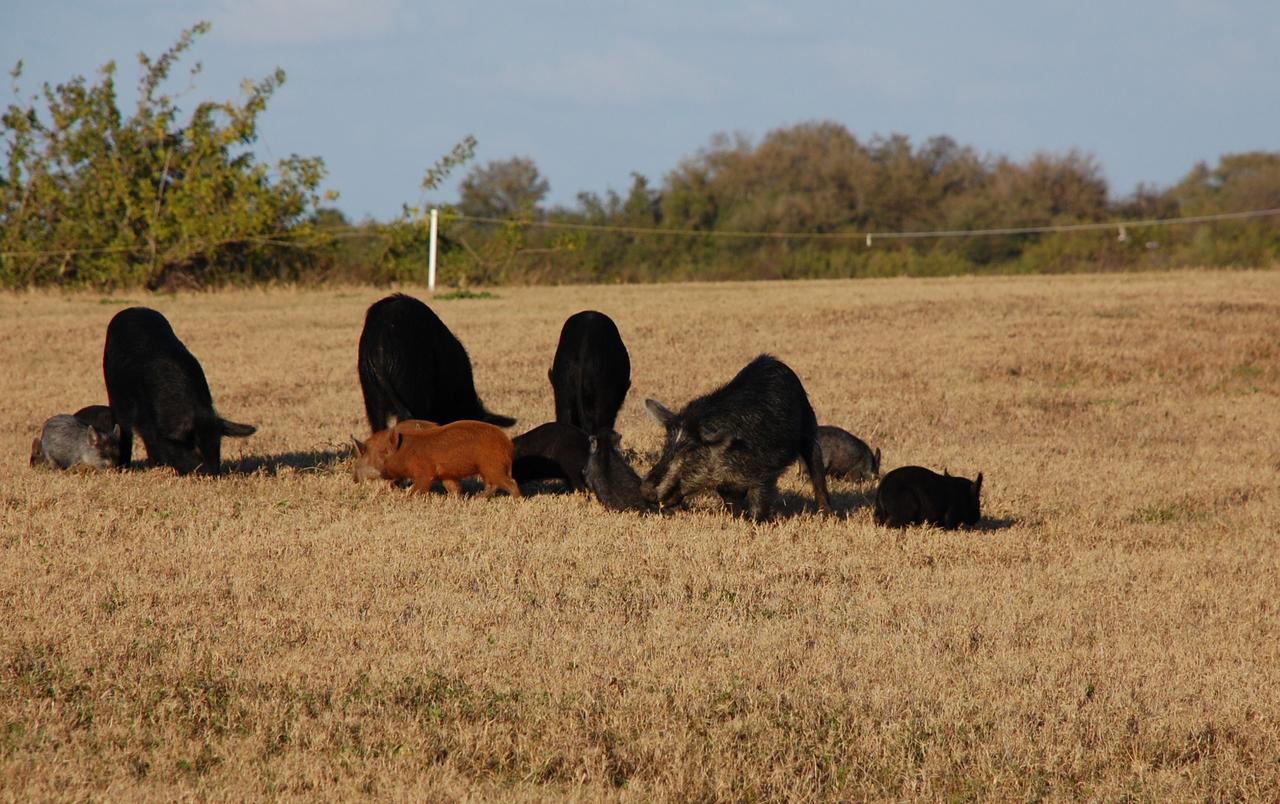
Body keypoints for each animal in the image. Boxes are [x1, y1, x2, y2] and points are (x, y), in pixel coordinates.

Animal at [103, 307, 255, 475]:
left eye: (218, 445)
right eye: (195, 447)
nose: (213, 474)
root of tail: (131, 309)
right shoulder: (145, 421)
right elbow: (151, 443)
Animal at [350, 419, 520, 497]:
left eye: (384, 452)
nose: (355, 479)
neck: (406, 451)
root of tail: (508, 445)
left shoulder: (425, 473)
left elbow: (417, 489)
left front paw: (406, 497)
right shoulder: (446, 475)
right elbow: (454, 489)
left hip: (492, 467)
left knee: (510, 483)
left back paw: (517, 501)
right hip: (488, 470)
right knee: (493, 485)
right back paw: (478, 498)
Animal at [641, 354, 831, 521]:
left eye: (691, 453)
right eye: (666, 447)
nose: (645, 489)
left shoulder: (764, 473)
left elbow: (759, 504)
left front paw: (757, 522)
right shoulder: (726, 486)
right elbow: (733, 506)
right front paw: (740, 519)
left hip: (809, 428)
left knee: (817, 470)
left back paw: (826, 515)